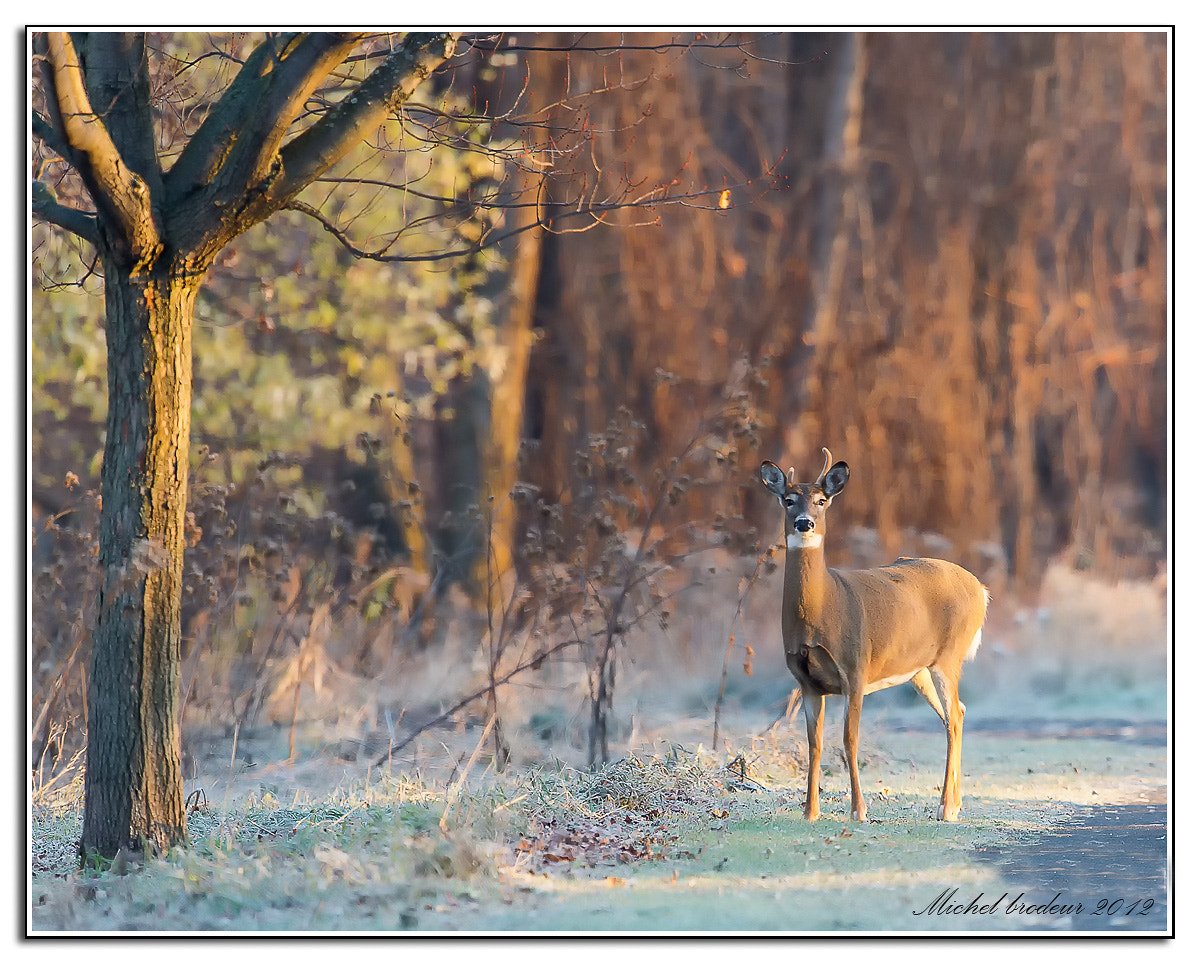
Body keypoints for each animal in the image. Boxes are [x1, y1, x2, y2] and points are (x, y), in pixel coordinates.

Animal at [763, 451, 988, 821]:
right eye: (788, 500)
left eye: (821, 501)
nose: (804, 524)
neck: (823, 606)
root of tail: (981, 588)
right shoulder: (805, 681)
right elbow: (815, 744)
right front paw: (810, 812)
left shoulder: (855, 667)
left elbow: (849, 739)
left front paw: (859, 810)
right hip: (920, 669)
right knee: (957, 713)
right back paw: (953, 804)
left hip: (949, 657)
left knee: (954, 717)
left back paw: (945, 807)